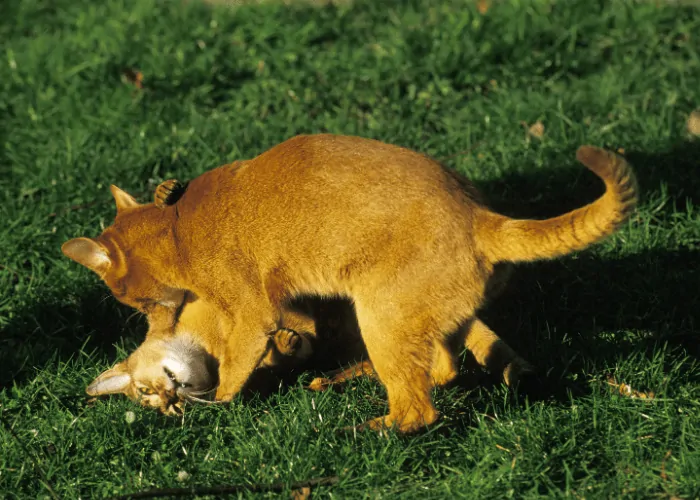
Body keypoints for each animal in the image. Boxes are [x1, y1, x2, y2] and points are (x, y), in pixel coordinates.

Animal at [63, 136, 636, 434]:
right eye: (146, 397)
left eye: (130, 300)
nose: (170, 407)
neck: (178, 225)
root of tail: (481, 218)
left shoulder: (252, 313)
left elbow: (235, 368)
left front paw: (220, 403)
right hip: (419, 314)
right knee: (444, 370)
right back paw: (343, 381)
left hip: (378, 315)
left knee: (419, 409)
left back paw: (365, 426)